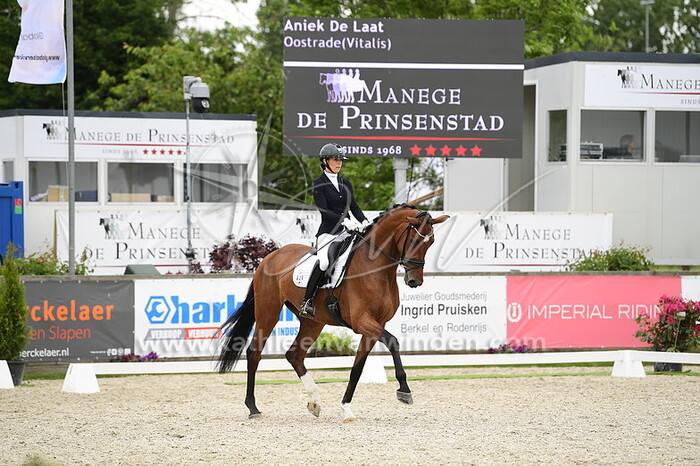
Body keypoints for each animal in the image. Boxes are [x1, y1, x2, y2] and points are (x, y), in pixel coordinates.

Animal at [216, 204, 449, 422]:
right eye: (414, 241)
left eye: (430, 242)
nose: (414, 281)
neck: (375, 267)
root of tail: (269, 257)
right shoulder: (361, 321)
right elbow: (393, 342)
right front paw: (404, 390)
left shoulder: (375, 325)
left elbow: (357, 368)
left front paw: (346, 409)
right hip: (268, 312)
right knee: (254, 352)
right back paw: (253, 407)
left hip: (313, 322)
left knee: (294, 355)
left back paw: (314, 401)